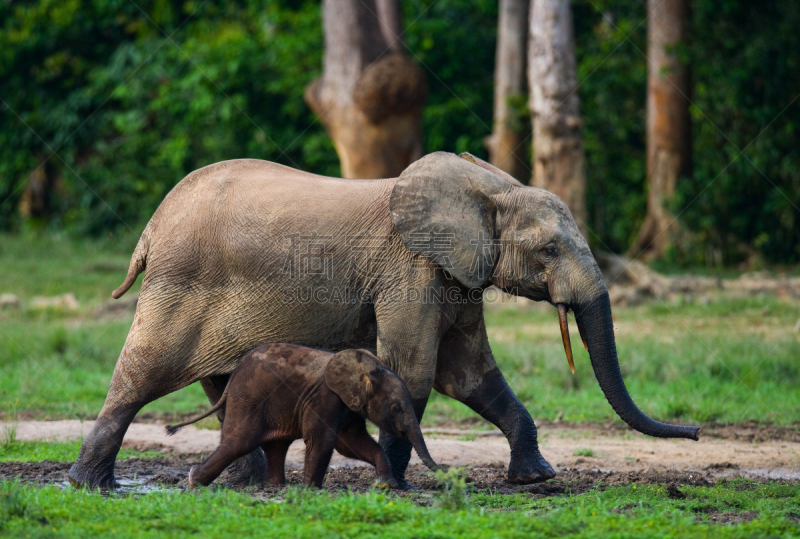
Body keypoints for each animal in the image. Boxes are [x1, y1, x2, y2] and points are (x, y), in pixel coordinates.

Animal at [162, 346, 438, 490]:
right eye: (396, 408)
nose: (444, 473)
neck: (368, 367)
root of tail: (234, 374)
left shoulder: (346, 404)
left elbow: (352, 443)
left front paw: (386, 486)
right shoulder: (325, 398)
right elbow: (323, 442)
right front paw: (310, 491)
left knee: (274, 445)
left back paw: (276, 487)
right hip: (247, 399)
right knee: (239, 442)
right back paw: (193, 480)